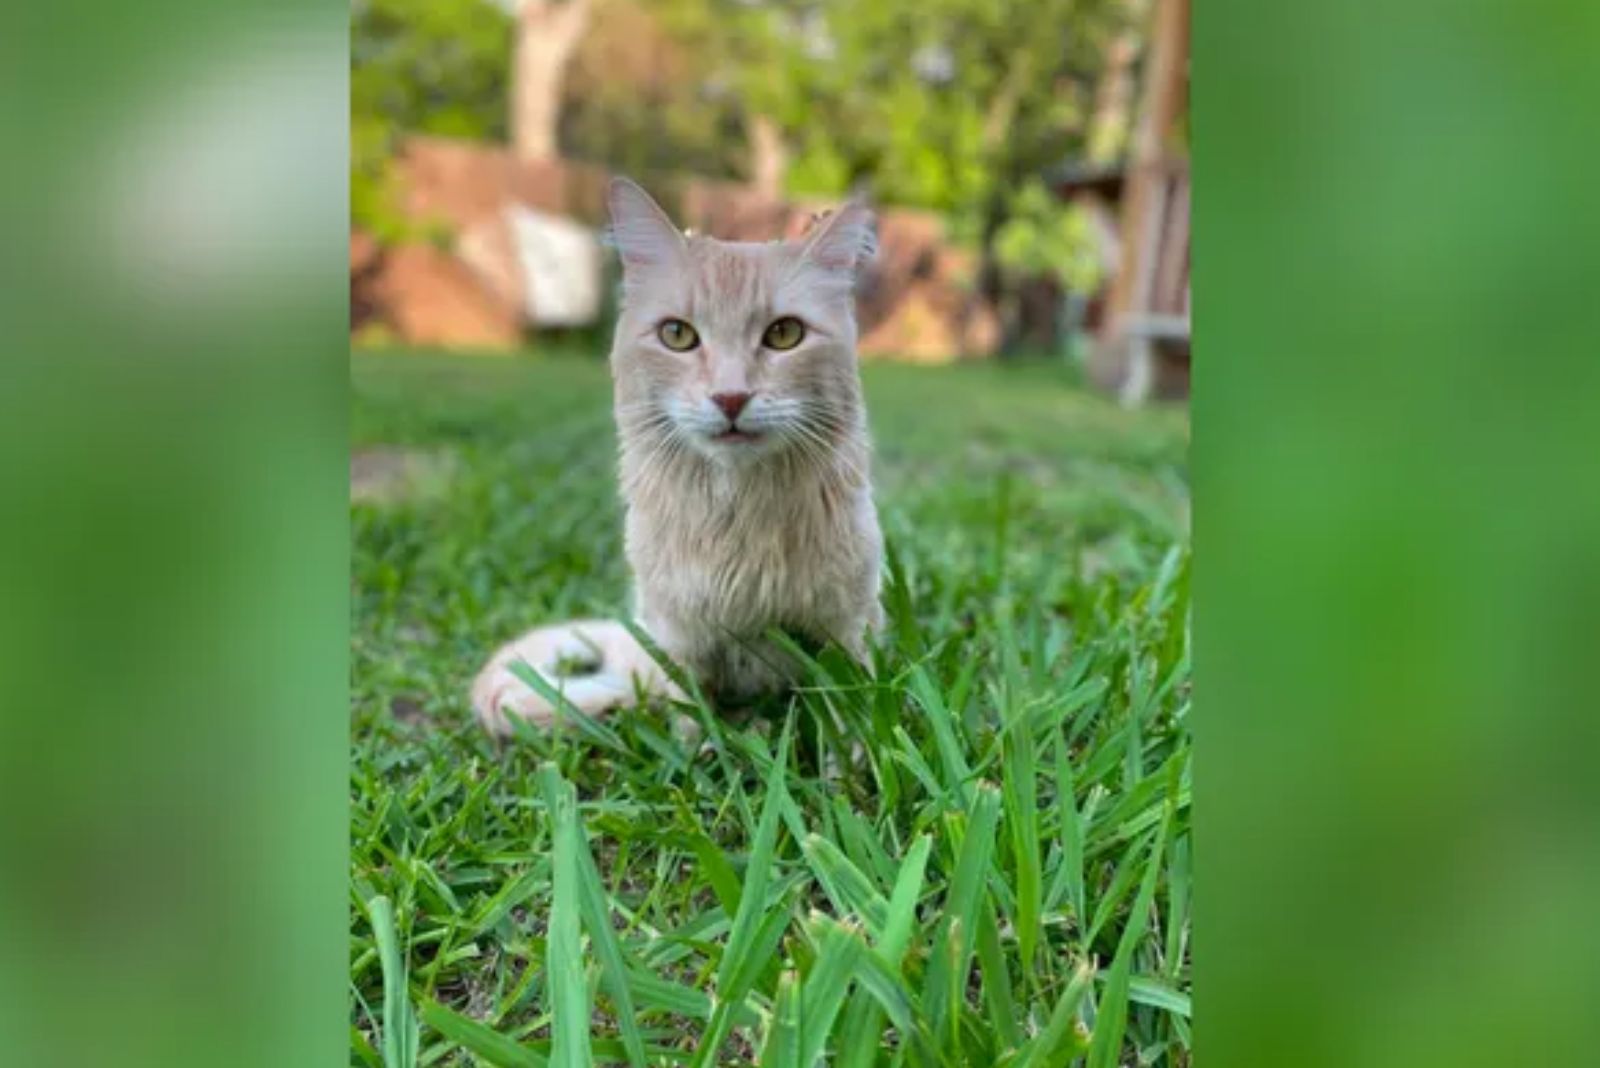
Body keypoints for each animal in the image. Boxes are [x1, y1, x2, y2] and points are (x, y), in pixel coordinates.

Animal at [470, 179, 889, 738]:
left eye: (784, 334)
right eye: (678, 335)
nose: (731, 398)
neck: (739, 513)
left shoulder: (848, 626)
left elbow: (851, 722)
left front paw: (850, 760)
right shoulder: (680, 640)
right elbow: (692, 720)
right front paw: (709, 750)